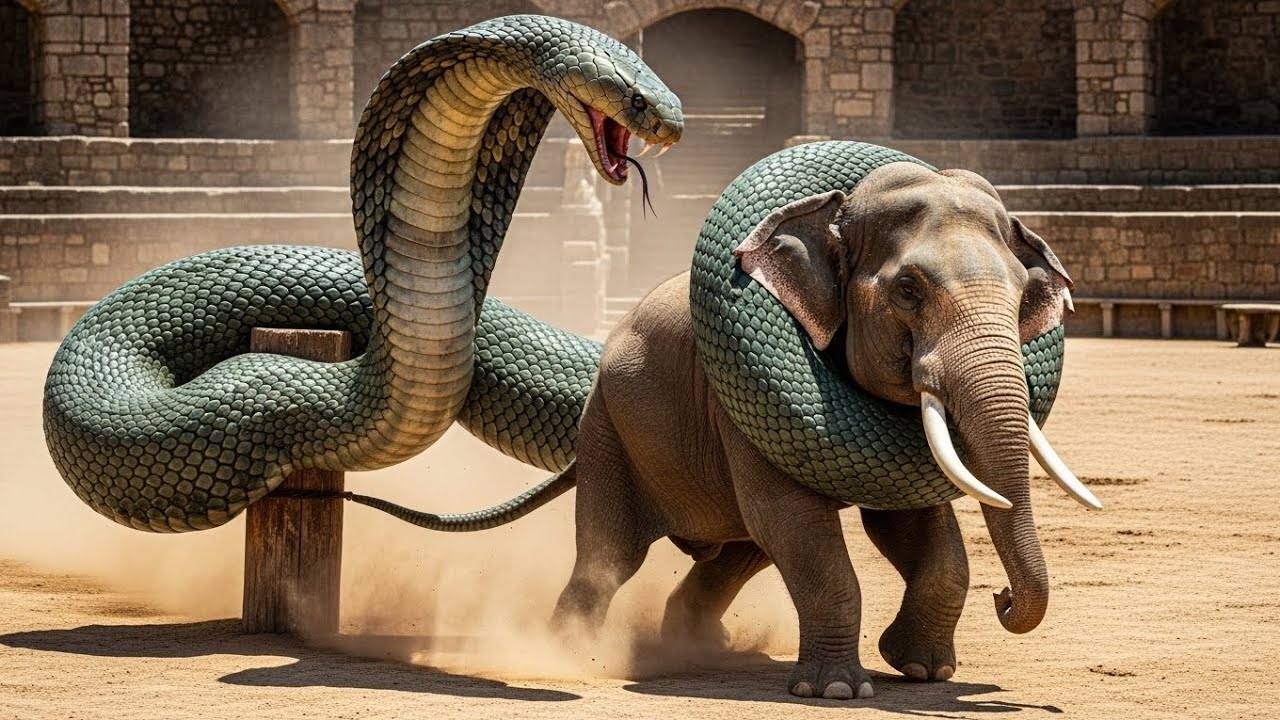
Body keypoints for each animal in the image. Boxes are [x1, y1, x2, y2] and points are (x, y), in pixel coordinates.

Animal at [549, 161, 1096, 700]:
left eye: (1024, 296)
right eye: (908, 289)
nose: (1003, 598)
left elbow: (917, 530)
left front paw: (922, 669)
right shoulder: (739, 408)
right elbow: (797, 522)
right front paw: (835, 689)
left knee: (742, 551)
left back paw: (699, 645)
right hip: (608, 429)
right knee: (610, 555)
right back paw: (573, 651)